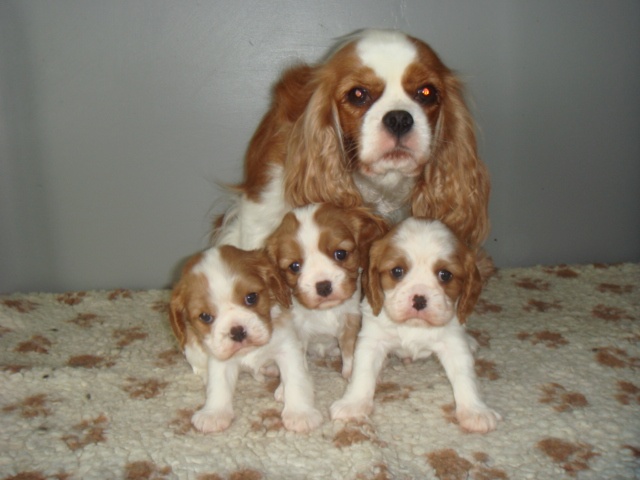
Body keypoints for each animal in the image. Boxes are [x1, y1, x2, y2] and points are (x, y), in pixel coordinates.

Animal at [170, 246, 322, 434]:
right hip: (192, 349)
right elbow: (218, 385)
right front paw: (214, 414)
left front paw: (300, 414)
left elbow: (296, 379)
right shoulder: (220, 357)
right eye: (205, 316)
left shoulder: (289, 349)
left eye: (251, 297)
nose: (237, 331)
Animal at [264, 202, 384, 378]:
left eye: (340, 254)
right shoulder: (298, 330)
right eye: (294, 266)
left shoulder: (350, 320)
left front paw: (350, 373)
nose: (323, 286)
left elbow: (348, 350)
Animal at [330, 219, 500, 434]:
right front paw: (353, 405)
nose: (419, 299)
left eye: (445, 275)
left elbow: (465, 375)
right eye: (397, 271)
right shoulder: (371, 341)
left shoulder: (454, 344)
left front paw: (475, 411)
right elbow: (363, 373)